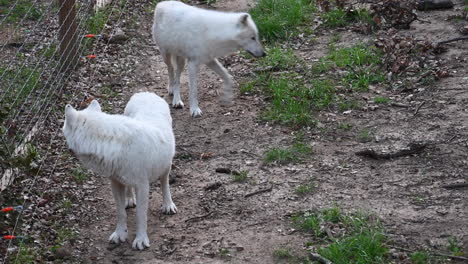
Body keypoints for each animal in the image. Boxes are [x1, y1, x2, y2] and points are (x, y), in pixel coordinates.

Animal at [62, 92, 177, 250]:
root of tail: (145, 92)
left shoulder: (143, 186)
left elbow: (141, 215)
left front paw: (141, 240)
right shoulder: (115, 183)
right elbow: (120, 213)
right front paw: (120, 234)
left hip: (166, 165)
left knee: (165, 183)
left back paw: (168, 205)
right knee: (129, 188)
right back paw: (129, 199)